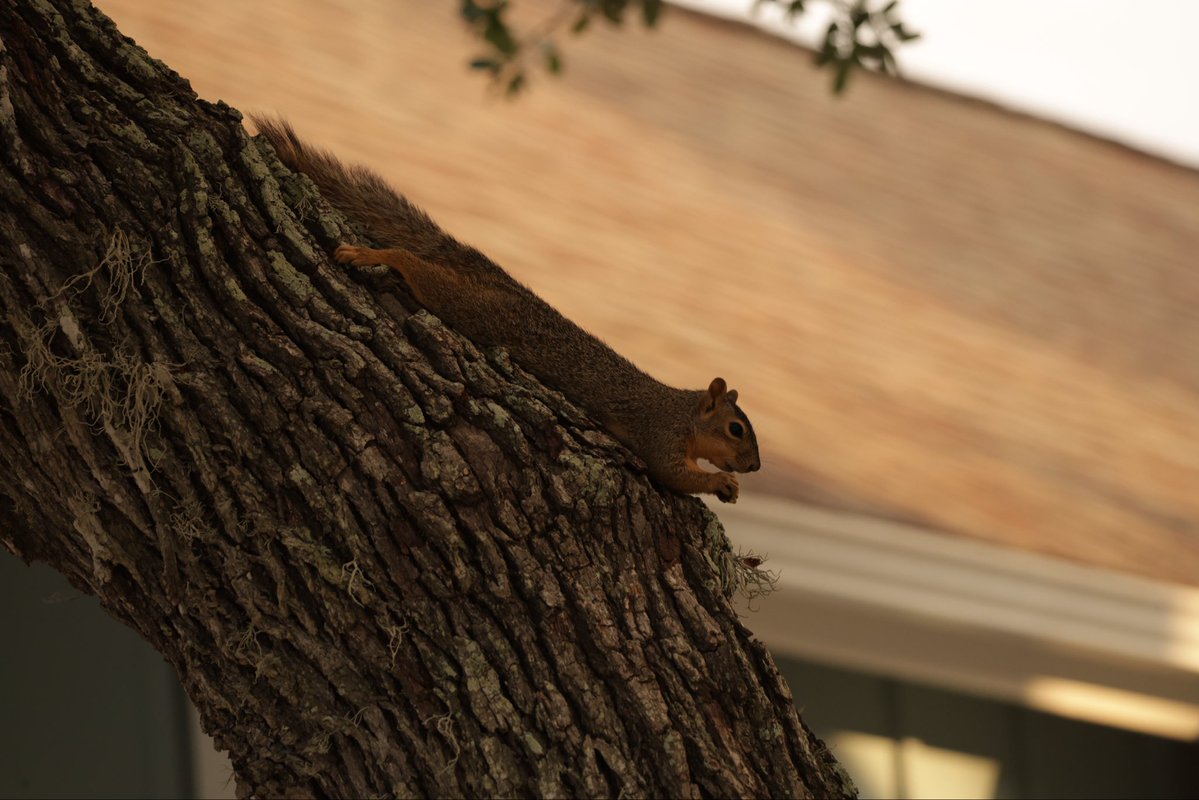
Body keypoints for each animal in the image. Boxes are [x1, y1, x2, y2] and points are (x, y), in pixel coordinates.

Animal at [251, 116, 761, 503]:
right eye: (736, 429)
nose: (755, 467)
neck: (684, 415)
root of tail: (503, 284)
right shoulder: (660, 434)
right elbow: (671, 474)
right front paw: (722, 481)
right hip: (474, 307)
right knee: (414, 266)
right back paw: (370, 255)